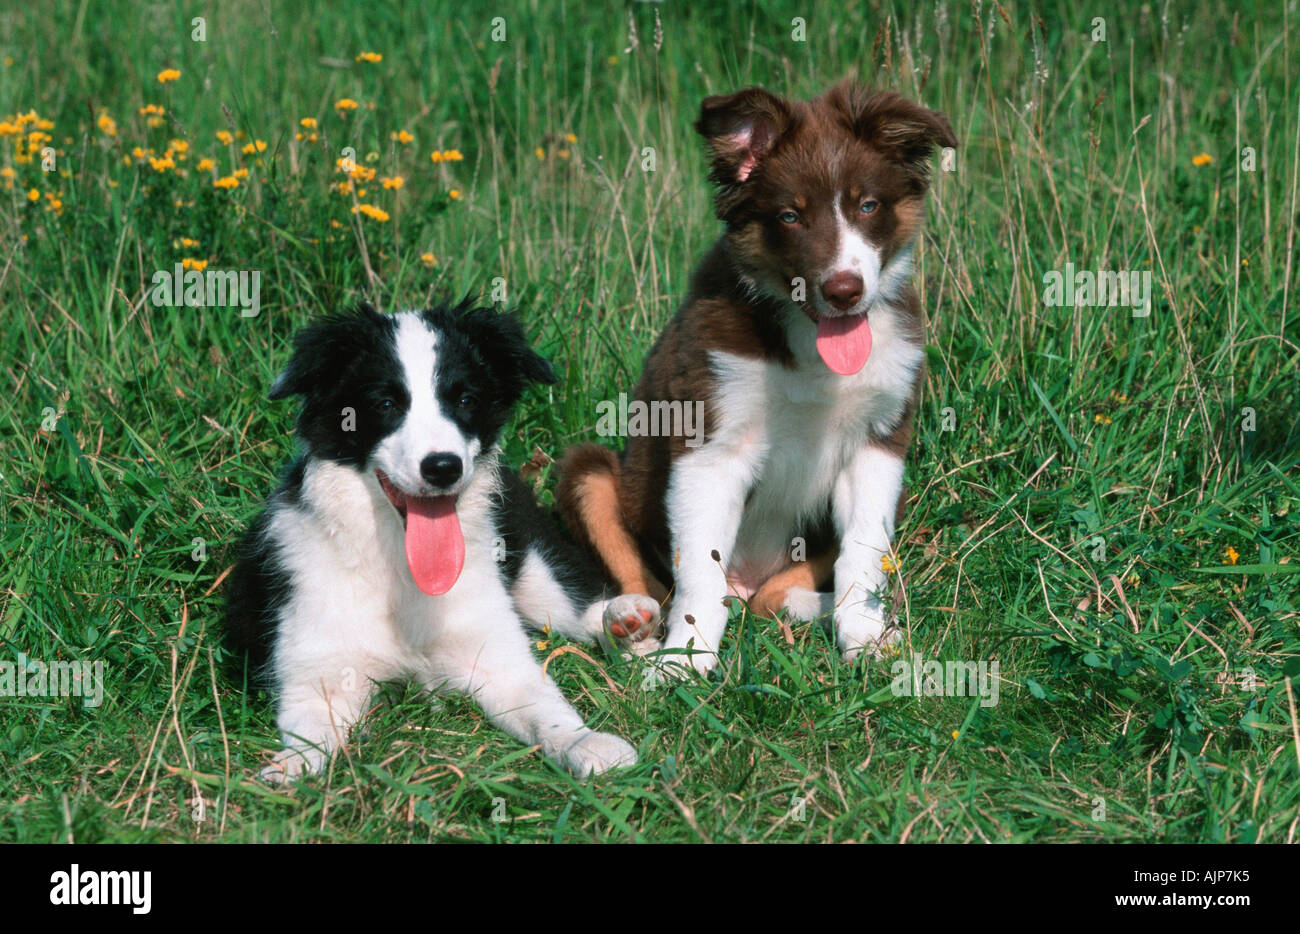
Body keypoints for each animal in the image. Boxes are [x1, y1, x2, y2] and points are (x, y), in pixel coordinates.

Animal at [222, 305, 660, 780]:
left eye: (465, 401)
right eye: (385, 404)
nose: (443, 467)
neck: (399, 566)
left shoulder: (498, 657)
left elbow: (548, 711)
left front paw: (587, 744)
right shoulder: (319, 676)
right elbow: (313, 737)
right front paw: (288, 770)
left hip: (532, 562)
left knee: (575, 605)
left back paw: (627, 622)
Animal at [556, 80, 956, 676]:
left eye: (867, 206)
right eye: (789, 216)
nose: (844, 291)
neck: (808, 346)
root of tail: (745, 588)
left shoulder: (878, 444)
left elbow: (861, 556)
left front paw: (865, 639)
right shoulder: (710, 444)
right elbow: (700, 572)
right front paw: (684, 662)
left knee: (778, 595)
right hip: (591, 474)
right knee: (648, 580)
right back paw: (632, 627)